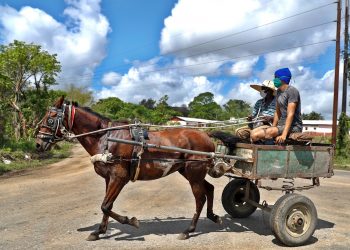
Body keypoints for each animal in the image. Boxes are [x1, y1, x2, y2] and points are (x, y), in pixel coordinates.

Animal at [35, 95, 238, 240]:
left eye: (51, 119)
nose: (38, 144)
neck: (106, 138)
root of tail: (206, 135)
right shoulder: (109, 178)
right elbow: (106, 205)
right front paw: (99, 231)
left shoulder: (119, 177)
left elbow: (105, 206)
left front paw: (130, 221)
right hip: (188, 172)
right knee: (209, 189)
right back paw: (213, 216)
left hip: (194, 172)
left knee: (200, 198)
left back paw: (189, 229)